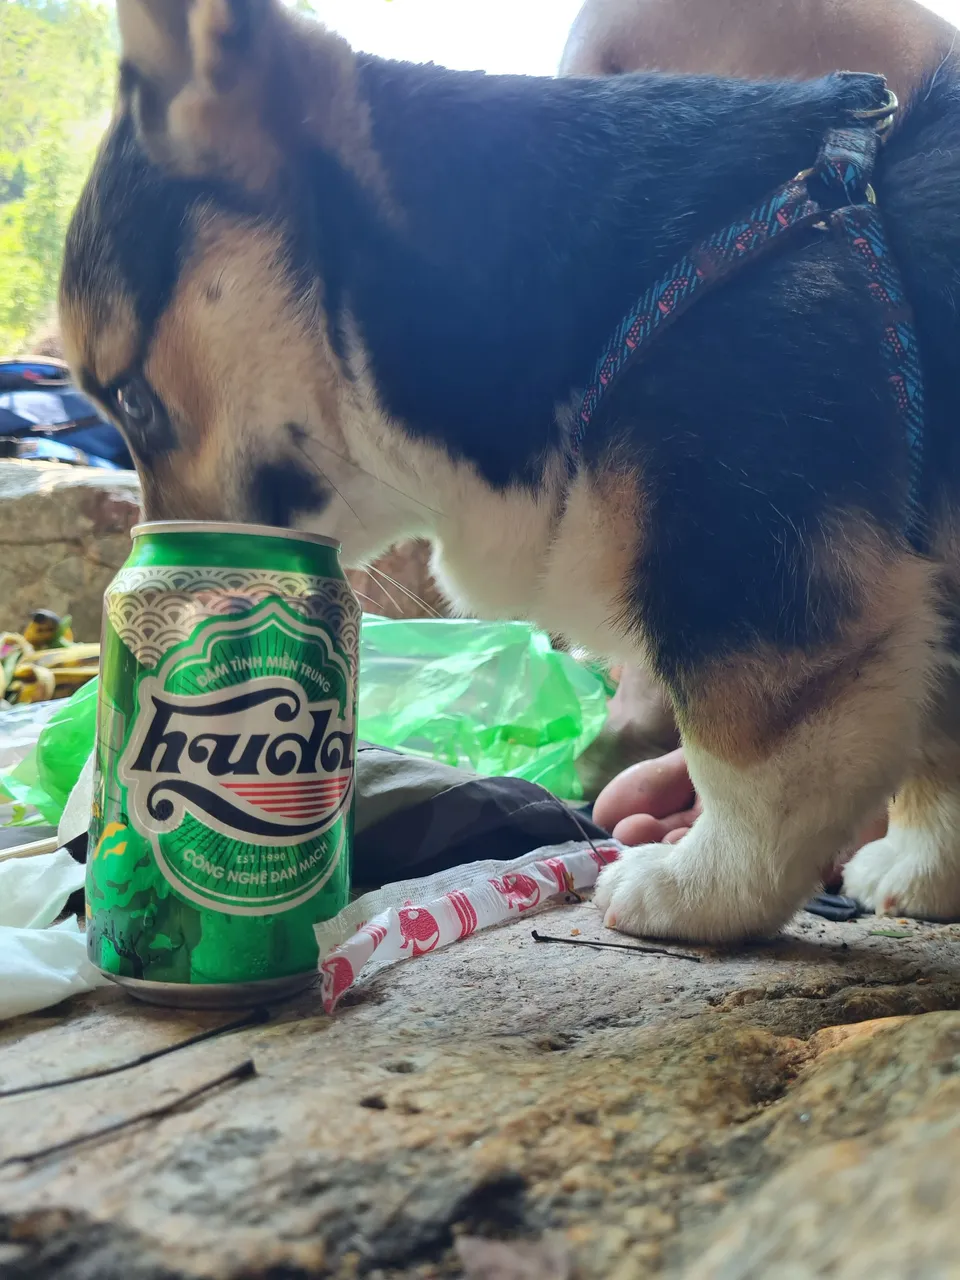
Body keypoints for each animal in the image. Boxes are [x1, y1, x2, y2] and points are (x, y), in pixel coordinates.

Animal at [56, 0, 960, 942]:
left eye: (133, 401)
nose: (168, 602)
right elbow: (940, 764)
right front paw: (924, 872)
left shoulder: (758, 600)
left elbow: (749, 772)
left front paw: (694, 888)